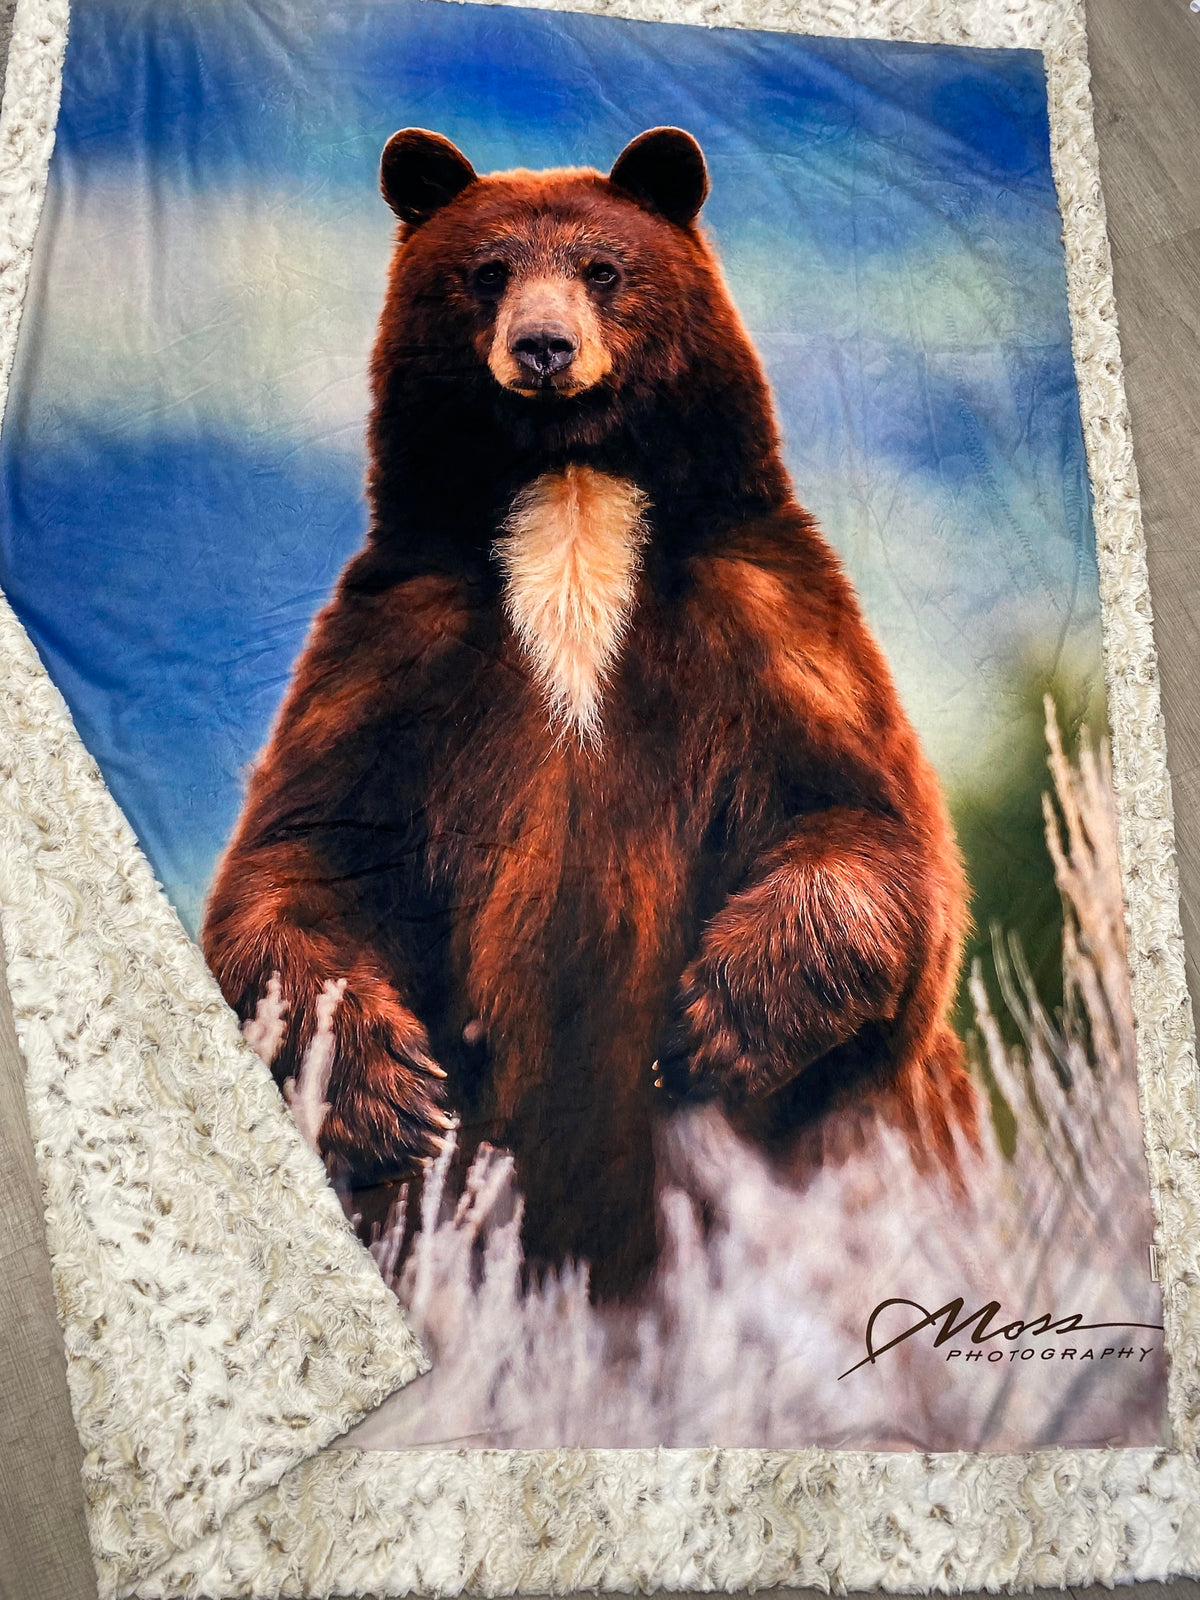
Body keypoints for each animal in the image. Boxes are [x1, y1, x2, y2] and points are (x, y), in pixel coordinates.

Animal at [202, 126, 978, 1302]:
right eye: (487, 271)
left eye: (604, 267)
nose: (543, 346)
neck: (571, 496)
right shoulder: (397, 648)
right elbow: (300, 861)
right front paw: (392, 1091)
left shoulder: (767, 620)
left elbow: (863, 827)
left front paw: (713, 1023)